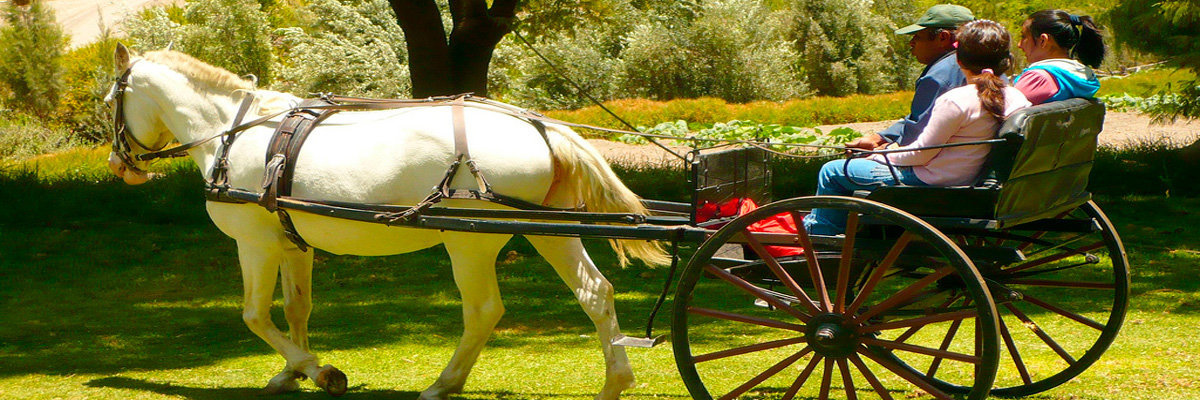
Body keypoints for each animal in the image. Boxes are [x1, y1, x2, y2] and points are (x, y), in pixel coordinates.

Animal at [105, 42, 667, 396]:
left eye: (112, 100)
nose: (118, 165)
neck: (234, 131)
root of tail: (540, 125)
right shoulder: (291, 244)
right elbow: (296, 309)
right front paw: (292, 373)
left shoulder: (254, 245)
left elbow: (255, 315)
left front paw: (320, 372)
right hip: (549, 232)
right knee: (595, 293)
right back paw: (615, 382)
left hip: (469, 244)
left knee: (483, 310)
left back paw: (444, 384)